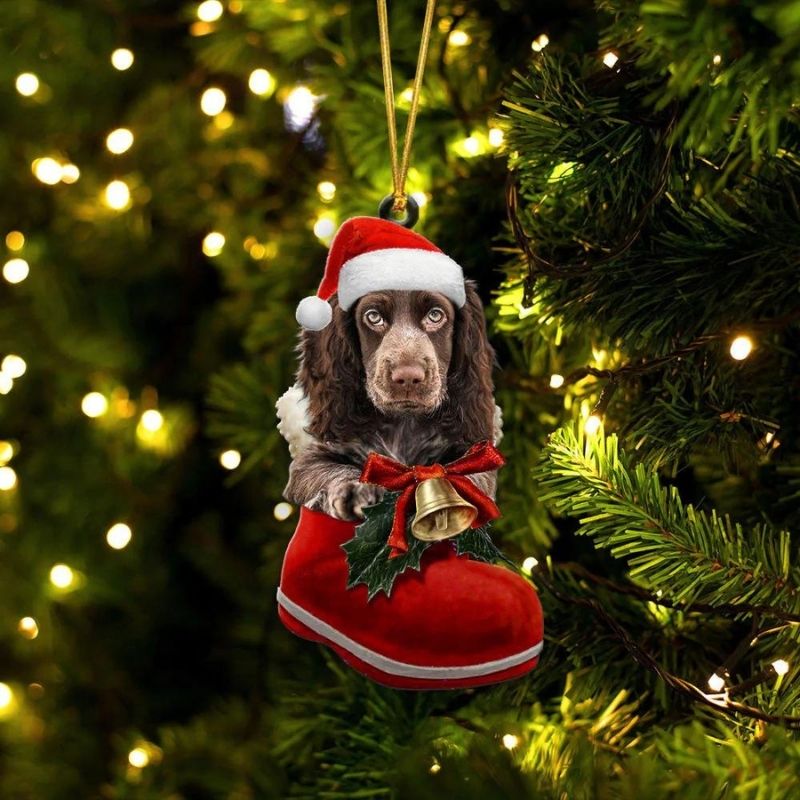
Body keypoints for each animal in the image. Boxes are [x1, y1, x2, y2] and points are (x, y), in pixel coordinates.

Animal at [276, 282, 500, 524]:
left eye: (435, 315)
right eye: (373, 317)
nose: (408, 377)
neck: (403, 425)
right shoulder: (310, 460)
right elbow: (333, 471)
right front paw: (356, 491)